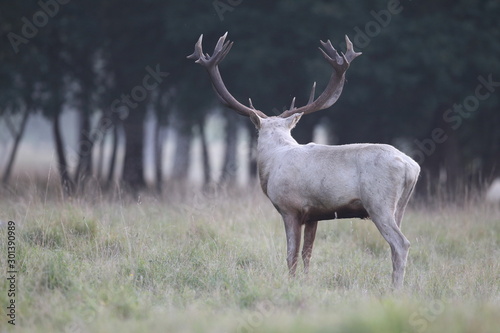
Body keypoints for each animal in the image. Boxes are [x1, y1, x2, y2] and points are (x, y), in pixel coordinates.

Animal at [189, 31, 420, 288]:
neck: (272, 164)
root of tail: (412, 167)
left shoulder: (290, 208)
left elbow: (291, 254)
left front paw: (290, 282)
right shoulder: (314, 214)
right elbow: (307, 253)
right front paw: (307, 281)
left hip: (378, 202)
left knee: (401, 243)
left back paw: (395, 288)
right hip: (400, 205)